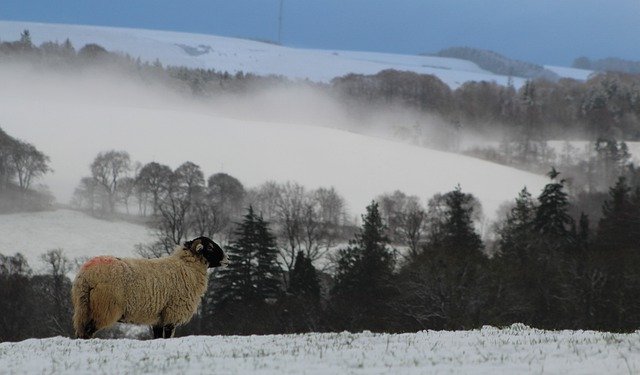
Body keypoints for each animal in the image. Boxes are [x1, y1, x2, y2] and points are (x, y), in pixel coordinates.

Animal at [71, 238, 228, 340]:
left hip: (83, 307)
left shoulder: (158, 317)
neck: (187, 266)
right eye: (210, 247)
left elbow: (157, 337)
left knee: (81, 332)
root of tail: (87, 274)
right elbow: (168, 335)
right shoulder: (172, 312)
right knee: (88, 331)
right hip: (105, 308)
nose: (227, 259)